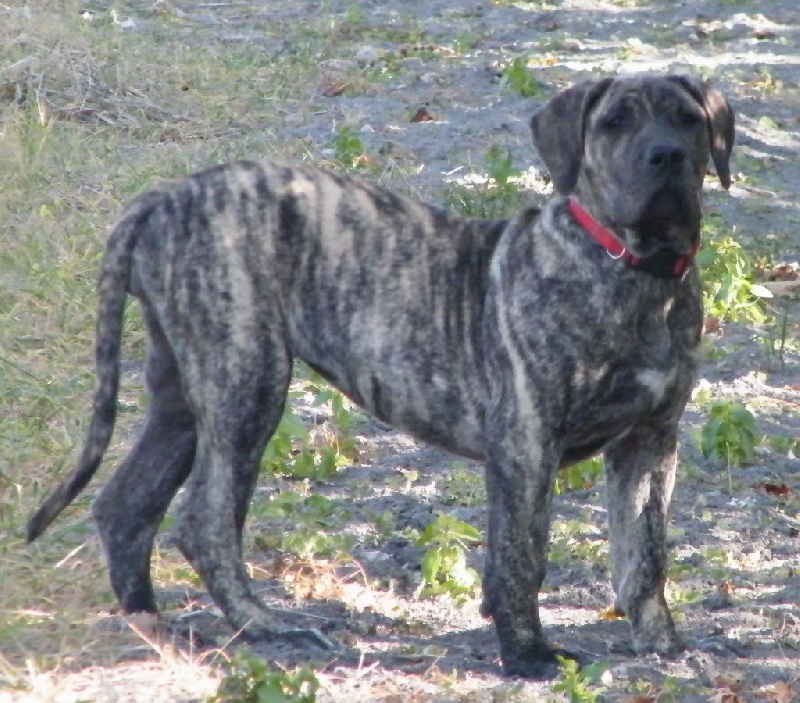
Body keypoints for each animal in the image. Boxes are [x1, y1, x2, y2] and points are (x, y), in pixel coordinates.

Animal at [29, 74, 732, 680]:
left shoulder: (650, 443)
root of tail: (166, 194)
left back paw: (153, 628)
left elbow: (645, 554)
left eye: (686, 120)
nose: (666, 157)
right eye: (615, 123)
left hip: (182, 392)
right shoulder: (526, 444)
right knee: (204, 521)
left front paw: (663, 643)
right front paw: (527, 655)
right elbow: (521, 556)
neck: (632, 270)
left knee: (126, 505)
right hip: (248, 382)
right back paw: (266, 626)